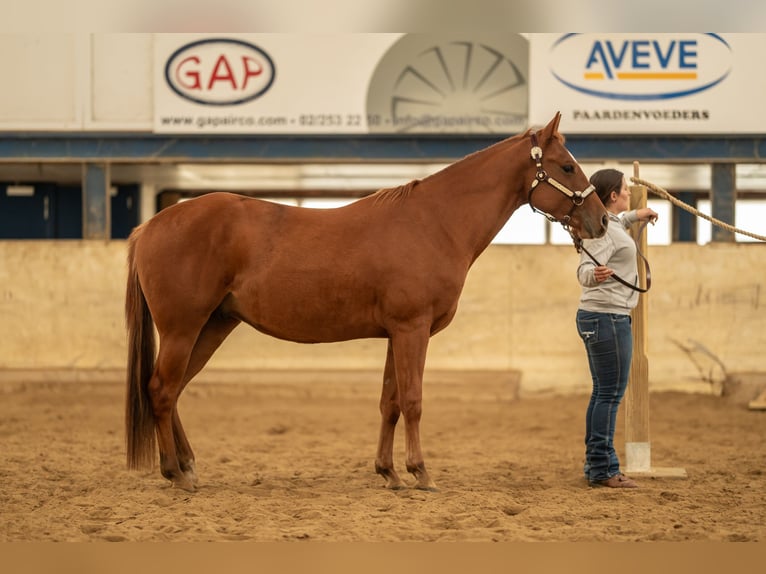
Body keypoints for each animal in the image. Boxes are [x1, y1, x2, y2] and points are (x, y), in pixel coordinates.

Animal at [124, 113, 608, 496]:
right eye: (568, 165)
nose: (601, 220)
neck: (434, 223)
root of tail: (151, 225)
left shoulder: (397, 333)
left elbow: (389, 401)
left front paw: (388, 473)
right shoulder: (412, 329)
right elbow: (412, 399)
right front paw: (421, 472)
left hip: (213, 325)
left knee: (174, 390)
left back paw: (187, 466)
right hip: (183, 328)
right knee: (162, 389)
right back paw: (176, 474)